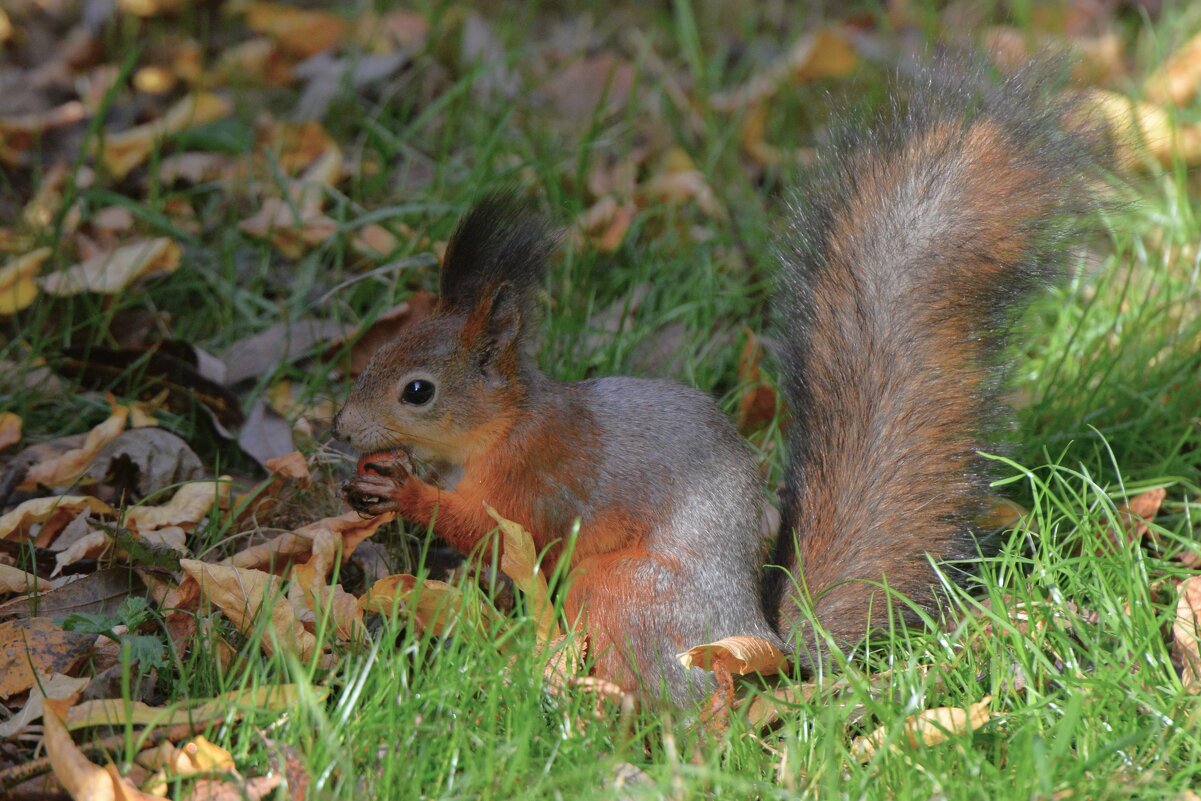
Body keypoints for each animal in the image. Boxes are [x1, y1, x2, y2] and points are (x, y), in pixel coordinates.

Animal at [329, 61, 1100, 706]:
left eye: (418, 390)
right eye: (381, 347)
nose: (339, 426)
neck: (506, 423)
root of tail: (762, 646)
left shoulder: (538, 476)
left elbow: (494, 529)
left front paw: (403, 491)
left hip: (625, 591)